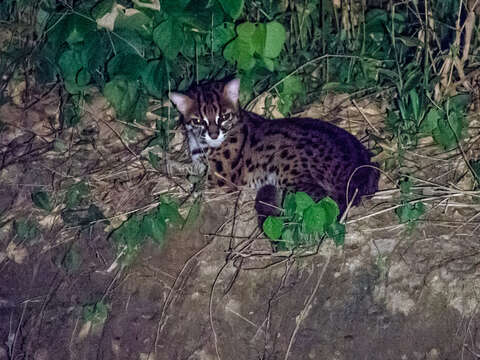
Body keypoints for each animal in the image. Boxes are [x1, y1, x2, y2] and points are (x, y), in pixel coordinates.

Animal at [169, 79, 378, 225]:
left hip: (289, 168)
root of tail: (360, 168)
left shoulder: (222, 178)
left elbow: (195, 181)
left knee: (323, 203)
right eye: (198, 121)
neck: (201, 144)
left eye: (224, 117)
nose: (214, 135)